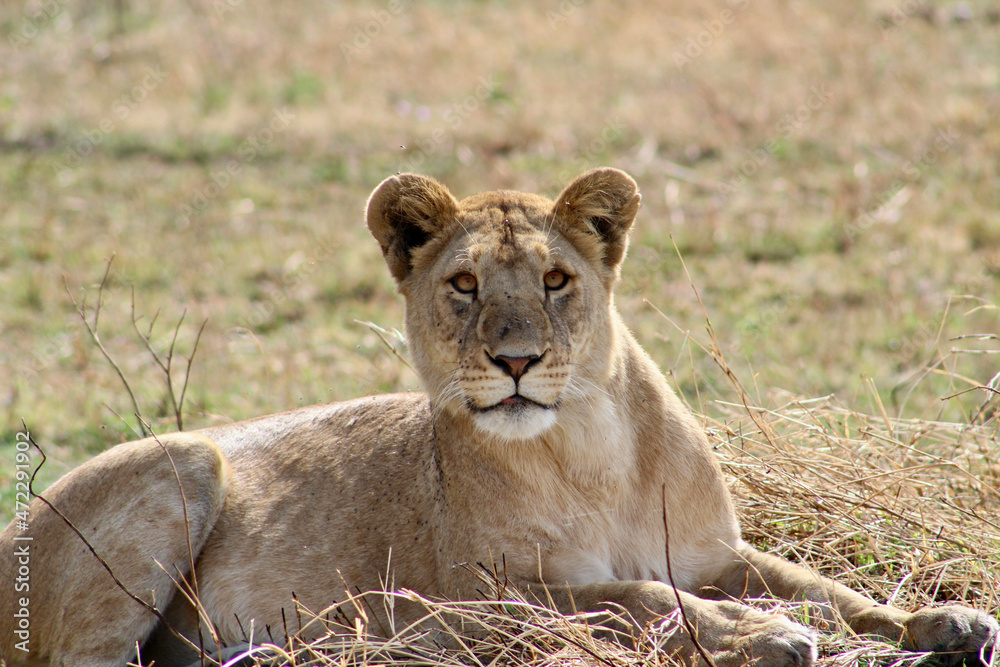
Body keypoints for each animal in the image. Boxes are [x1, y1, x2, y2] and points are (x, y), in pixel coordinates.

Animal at [1, 168, 996, 667]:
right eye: (465, 284)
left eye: (556, 279)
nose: (515, 359)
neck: (590, 449)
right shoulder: (479, 600)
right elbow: (636, 598)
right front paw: (760, 636)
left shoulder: (716, 552)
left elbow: (829, 589)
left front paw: (943, 621)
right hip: (187, 459)